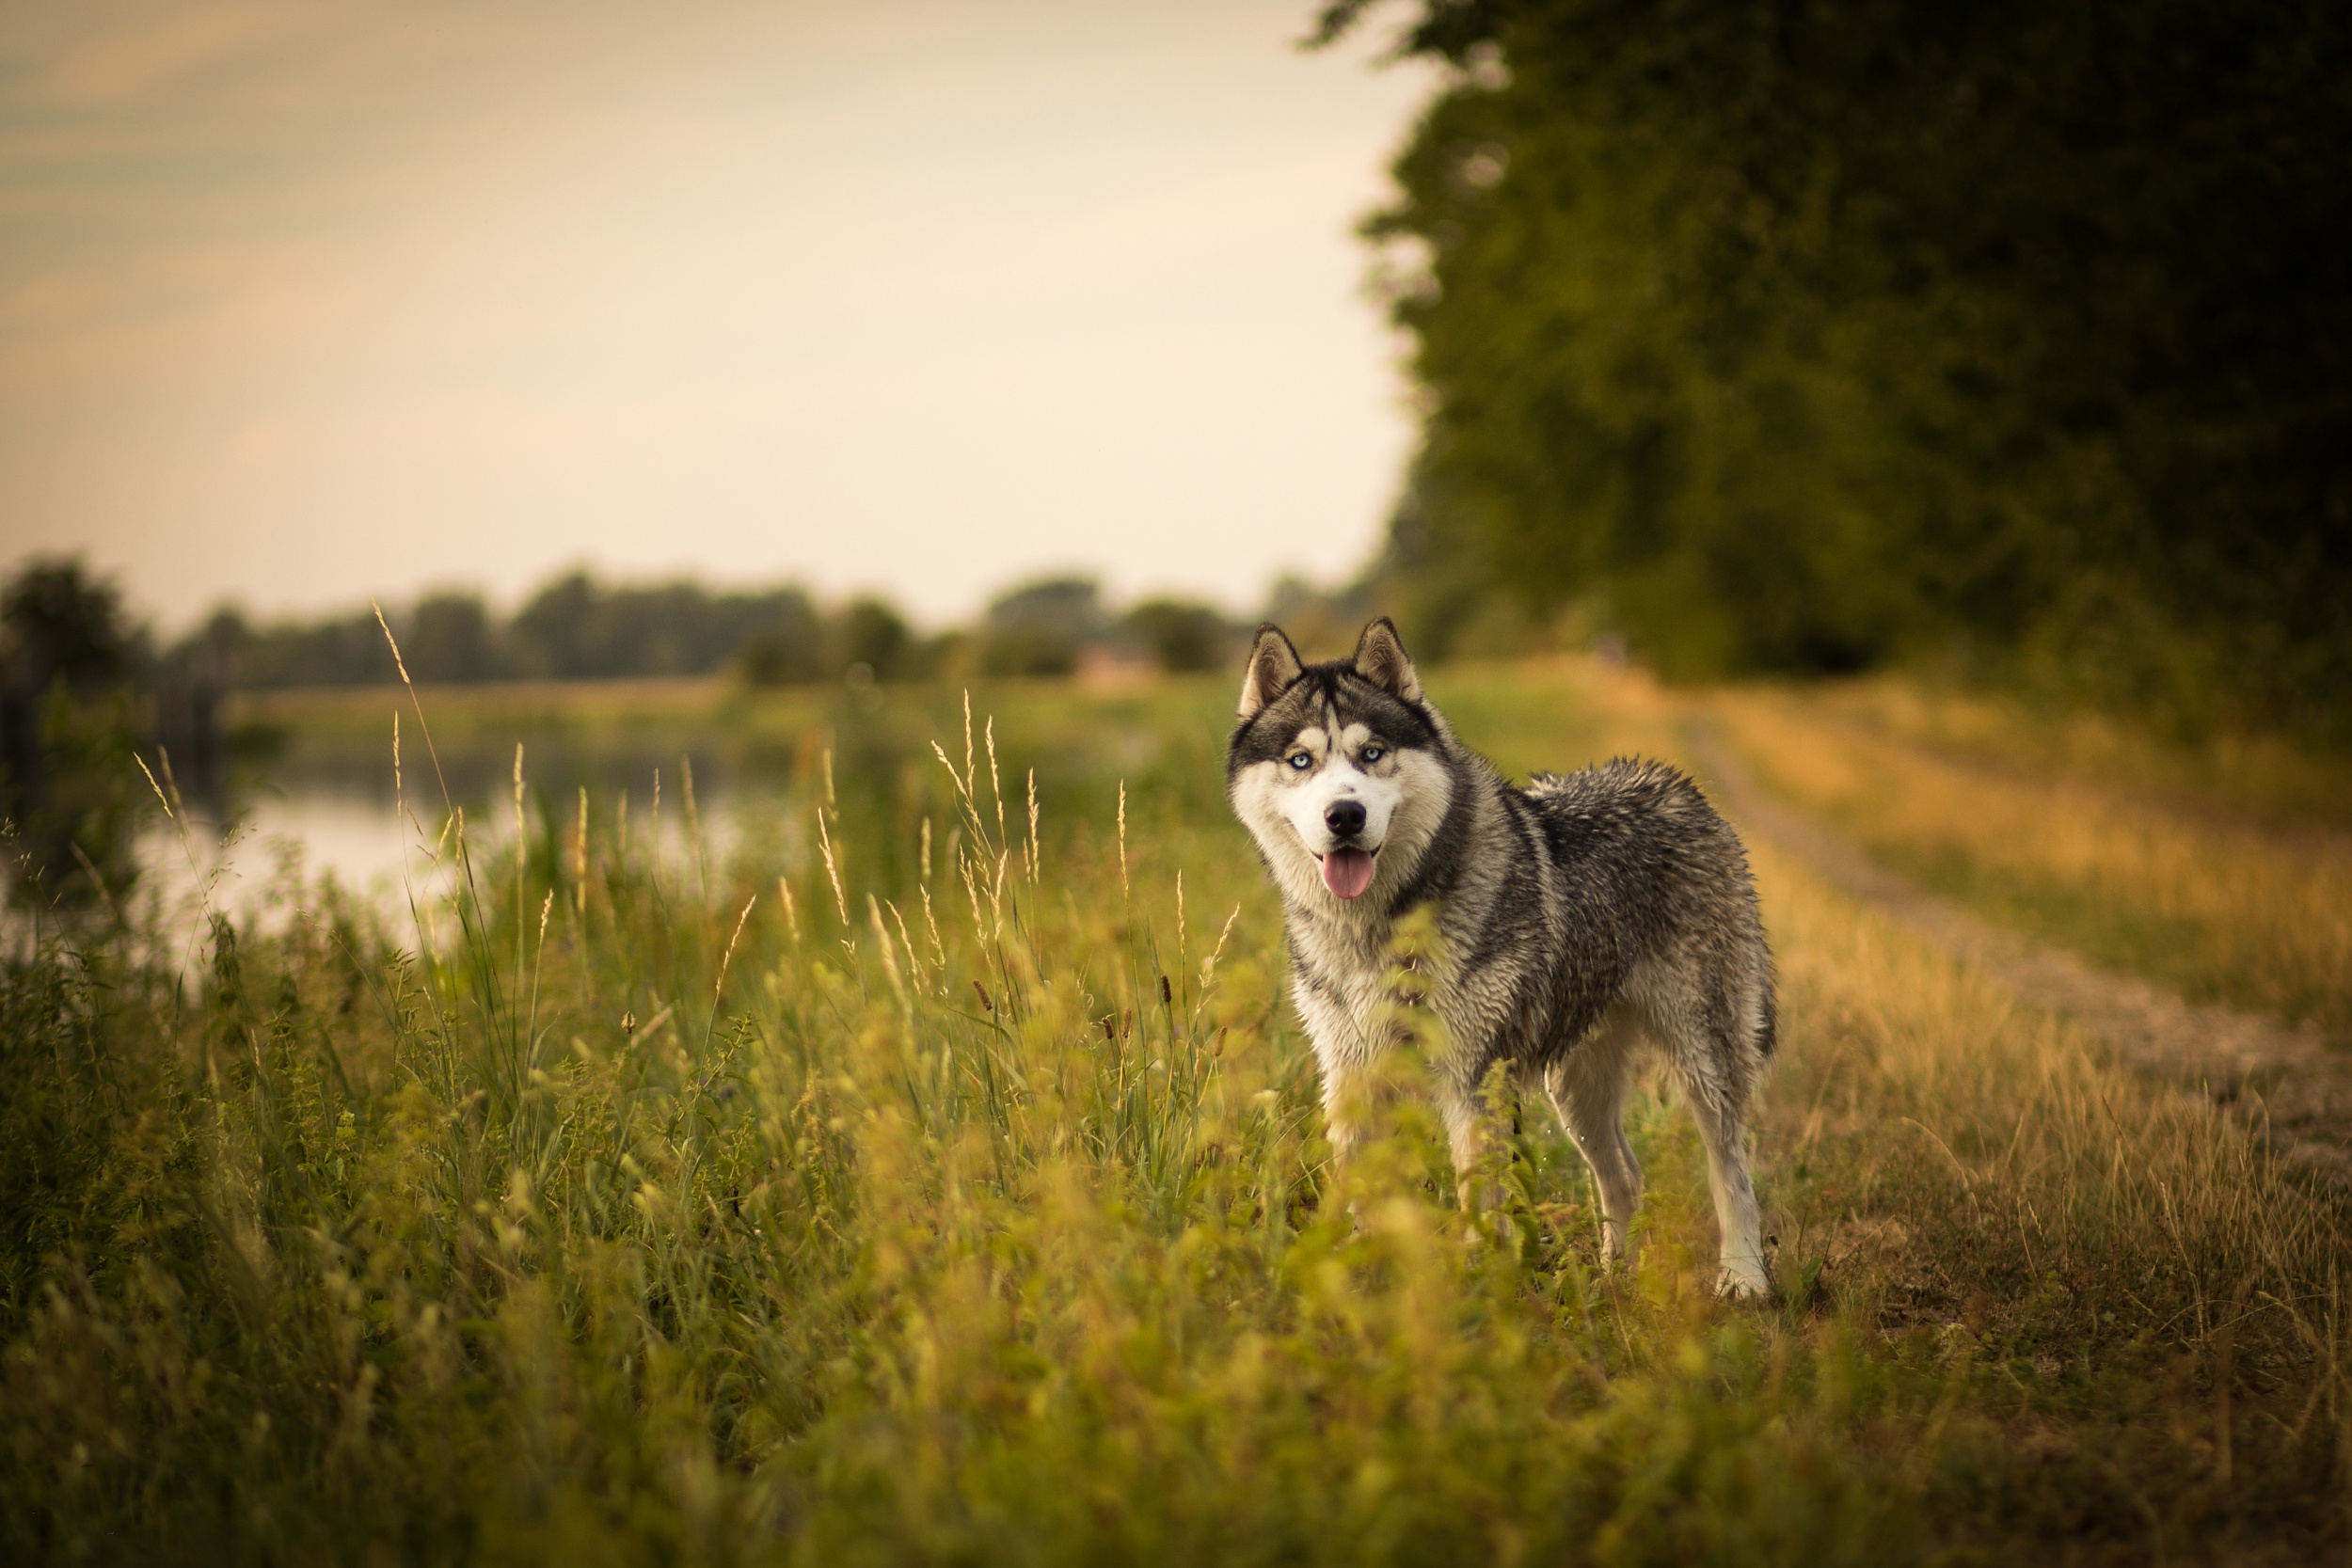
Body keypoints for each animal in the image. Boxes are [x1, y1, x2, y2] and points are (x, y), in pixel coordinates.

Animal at [1232, 620, 1769, 1297]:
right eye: (1300, 761)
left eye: (1372, 753)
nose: (1344, 815)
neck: (1380, 927)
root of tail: (1679, 785)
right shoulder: (1354, 1076)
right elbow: (1360, 1193)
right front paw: (1356, 1285)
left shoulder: (1473, 1080)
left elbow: (1477, 1204)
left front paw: (1475, 1291)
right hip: (1576, 1087)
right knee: (1624, 1175)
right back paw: (1611, 1279)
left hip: (1701, 1052)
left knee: (1732, 1168)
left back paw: (1745, 1279)